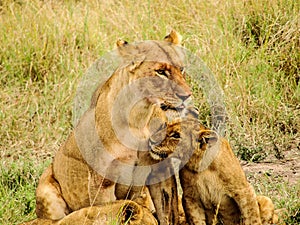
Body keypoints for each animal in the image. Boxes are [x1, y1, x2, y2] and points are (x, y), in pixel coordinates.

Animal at [150, 118, 286, 225]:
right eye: (166, 125)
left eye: (176, 135)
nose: (151, 140)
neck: (201, 165)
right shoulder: (190, 197)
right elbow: (197, 220)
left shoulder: (244, 191)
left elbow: (252, 219)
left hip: (265, 200)